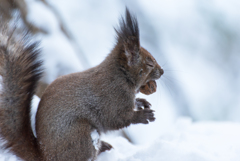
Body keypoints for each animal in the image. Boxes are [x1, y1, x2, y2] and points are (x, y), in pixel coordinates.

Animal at [0, 7, 163, 161]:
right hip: (81, 135)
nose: (162, 72)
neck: (122, 76)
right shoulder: (112, 98)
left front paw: (141, 102)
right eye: (149, 64)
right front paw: (143, 116)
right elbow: (117, 118)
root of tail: (45, 155)